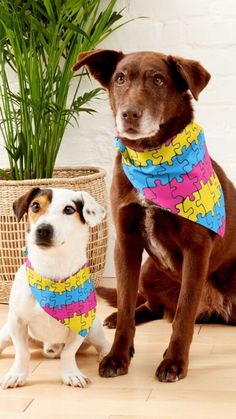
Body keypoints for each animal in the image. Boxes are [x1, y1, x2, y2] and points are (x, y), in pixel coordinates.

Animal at [0, 188, 109, 390]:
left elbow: (69, 353)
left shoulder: (81, 324)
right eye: (35, 206)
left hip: (94, 329)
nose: (43, 229)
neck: (52, 268)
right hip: (6, 333)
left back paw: (107, 356)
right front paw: (17, 375)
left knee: (103, 343)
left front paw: (71, 374)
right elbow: (22, 353)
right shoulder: (17, 321)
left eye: (69, 209)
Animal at [73, 48, 236, 380]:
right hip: (149, 270)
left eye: (158, 80)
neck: (153, 157)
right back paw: (120, 316)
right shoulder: (125, 243)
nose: (129, 114)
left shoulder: (197, 250)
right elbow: (125, 302)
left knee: (174, 311)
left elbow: (184, 314)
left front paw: (174, 361)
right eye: (120, 78)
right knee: (150, 305)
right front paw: (117, 355)